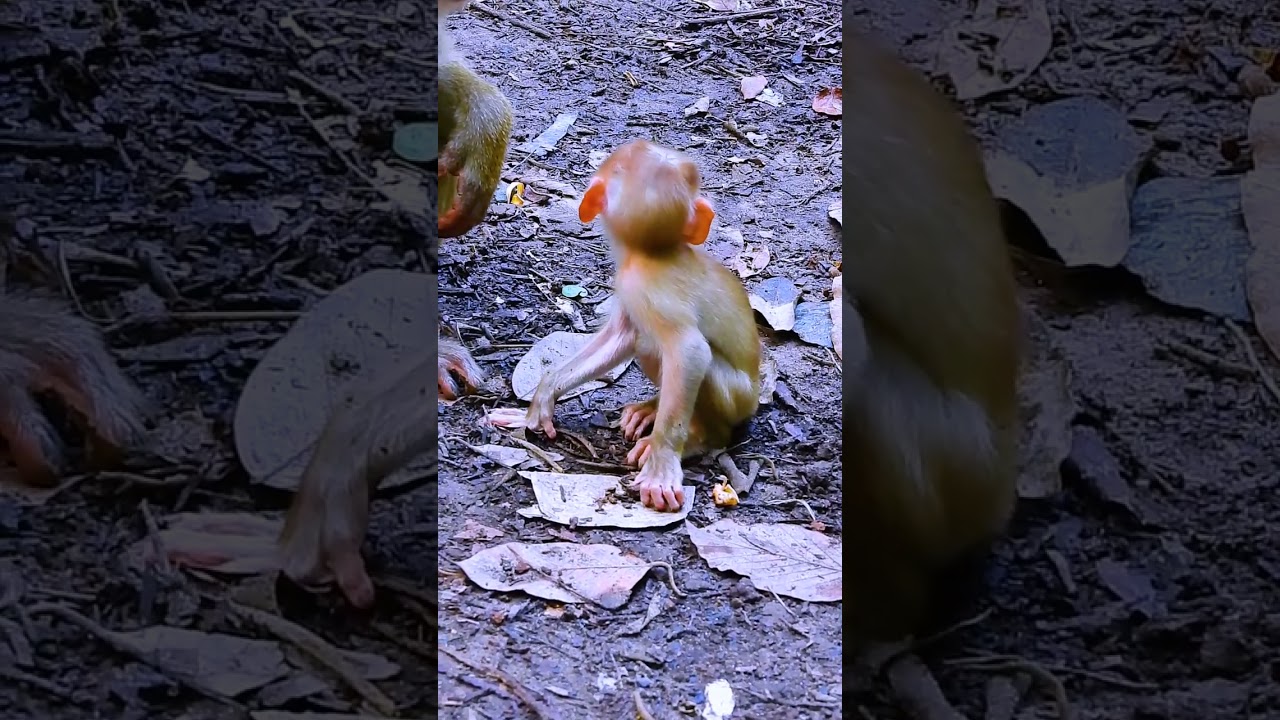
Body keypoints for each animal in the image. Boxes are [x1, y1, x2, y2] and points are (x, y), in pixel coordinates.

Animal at [490, 140, 761, 512]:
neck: (654, 251)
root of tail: (758, 396)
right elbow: (620, 337)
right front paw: (540, 402)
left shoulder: (640, 285)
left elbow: (690, 350)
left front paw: (662, 463)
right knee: (647, 346)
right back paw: (651, 409)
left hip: (736, 401)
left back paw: (700, 437)